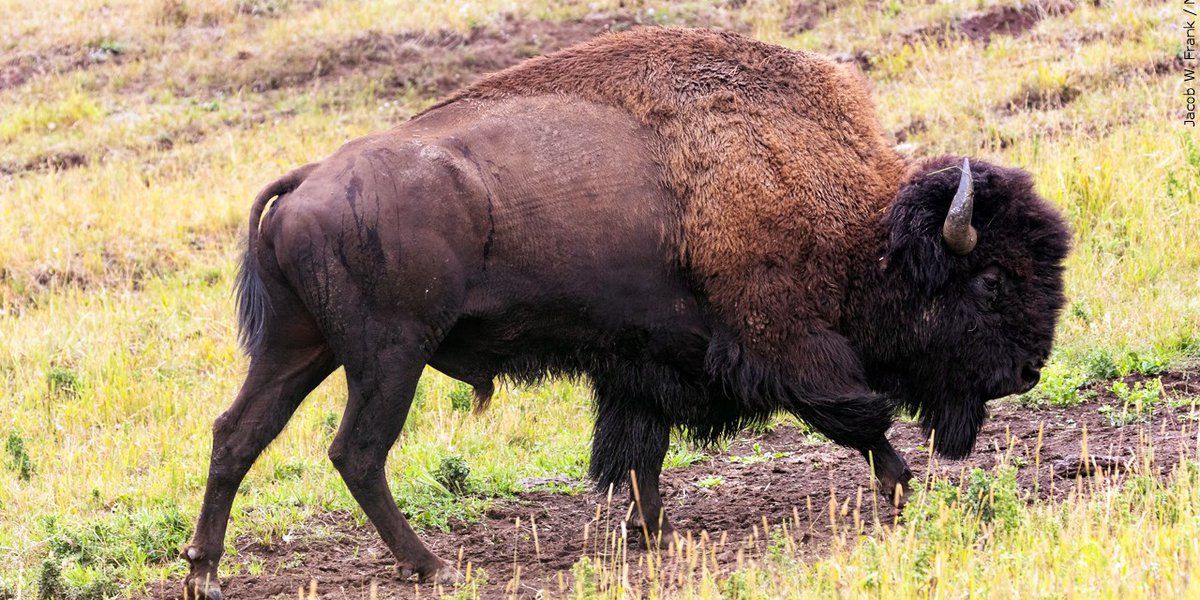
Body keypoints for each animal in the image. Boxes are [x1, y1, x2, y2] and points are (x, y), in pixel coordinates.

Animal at [180, 27, 1070, 595]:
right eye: (991, 282)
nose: (1028, 373)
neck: (859, 220)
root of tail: (309, 179)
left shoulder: (642, 361)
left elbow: (640, 448)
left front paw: (651, 532)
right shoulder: (784, 338)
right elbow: (854, 411)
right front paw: (900, 485)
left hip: (302, 347)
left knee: (238, 434)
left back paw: (204, 569)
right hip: (387, 356)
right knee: (356, 452)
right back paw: (431, 567)